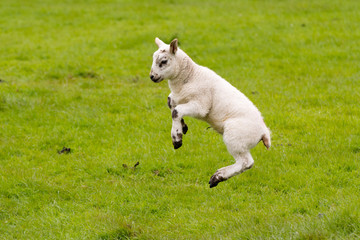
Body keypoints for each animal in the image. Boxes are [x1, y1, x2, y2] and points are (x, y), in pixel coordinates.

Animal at [149, 37, 270, 188]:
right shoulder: (178, 97)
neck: (190, 76)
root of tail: (264, 132)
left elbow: (176, 111)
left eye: (164, 61)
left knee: (246, 162)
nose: (152, 76)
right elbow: (170, 102)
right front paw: (183, 127)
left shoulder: (201, 105)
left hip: (236, 137)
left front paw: (177, 139)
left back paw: (217, 177)